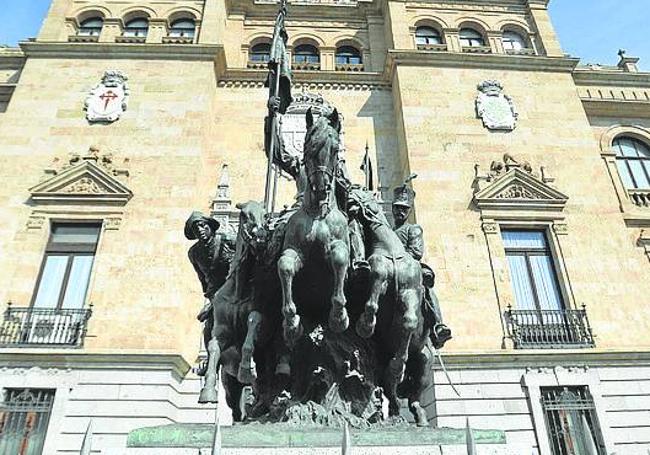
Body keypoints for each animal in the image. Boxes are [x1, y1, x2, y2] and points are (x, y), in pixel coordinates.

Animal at [278, 108, 352, 344]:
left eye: (335, 149)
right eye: (308, 147)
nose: (321, 188)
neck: (318, 213)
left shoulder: (339, 245)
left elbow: (339, 259)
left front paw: (339, 316)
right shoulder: (294, 251)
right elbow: (284, 266)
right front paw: (291, 322)